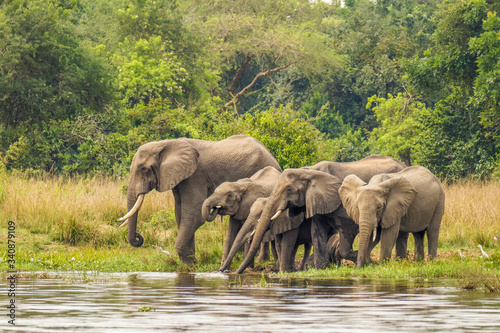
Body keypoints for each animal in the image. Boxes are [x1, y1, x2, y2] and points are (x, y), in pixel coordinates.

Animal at [117, 134, 282, 264]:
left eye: (144, 169)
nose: (138, 237)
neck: (166, 144)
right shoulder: (181, 179)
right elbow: (180, 214)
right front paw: (190, 263)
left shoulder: (194, 176)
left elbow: (194, 214)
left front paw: (190, 264)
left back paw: (259, 260)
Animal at [234, 156, 406, 272]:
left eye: (288, 189)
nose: (234, 273)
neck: (309, 171)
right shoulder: (316, 201)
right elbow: (317, 231)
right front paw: (321, 268)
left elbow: (346, 229)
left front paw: (361, 259)